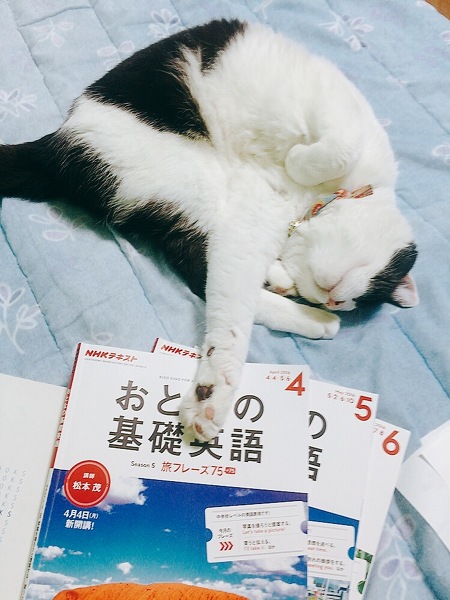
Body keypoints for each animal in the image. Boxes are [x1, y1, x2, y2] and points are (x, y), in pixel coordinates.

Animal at [0, 19, 419, 441]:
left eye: (353, 303)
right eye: (369, 280)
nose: (333, 304)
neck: (308, 204)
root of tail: (54, 144)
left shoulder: (255, 213)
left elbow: (230, 289)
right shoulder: (334, 108)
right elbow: (339, 147)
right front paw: (211, 393)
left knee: (205, 269)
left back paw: (299, 303)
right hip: (181, 171)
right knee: (206, 273)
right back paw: (308, 315)